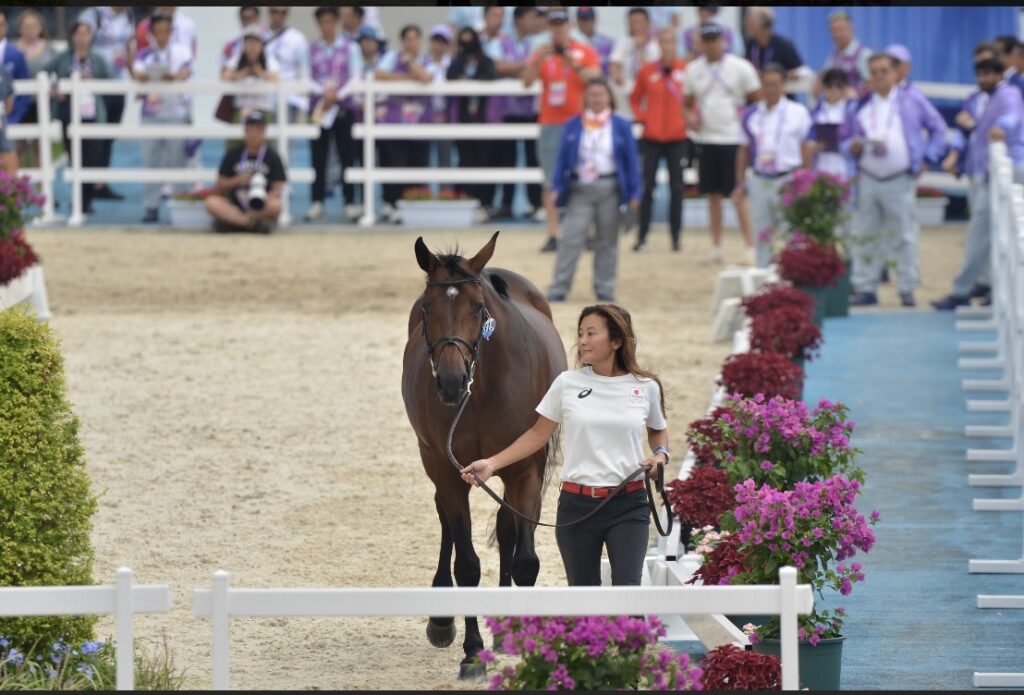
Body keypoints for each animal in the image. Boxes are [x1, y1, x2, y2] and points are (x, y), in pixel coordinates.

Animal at [401, 233, 569, 679]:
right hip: (434, 461)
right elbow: (467, 564)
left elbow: (525, 559)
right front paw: (472, 653)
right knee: (445, 518)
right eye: (427, 308)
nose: (451, 382)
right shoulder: (448, 470)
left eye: (478, 307)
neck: (482, 389)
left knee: (507, 526)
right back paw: (442, 620)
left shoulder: (525, 469)